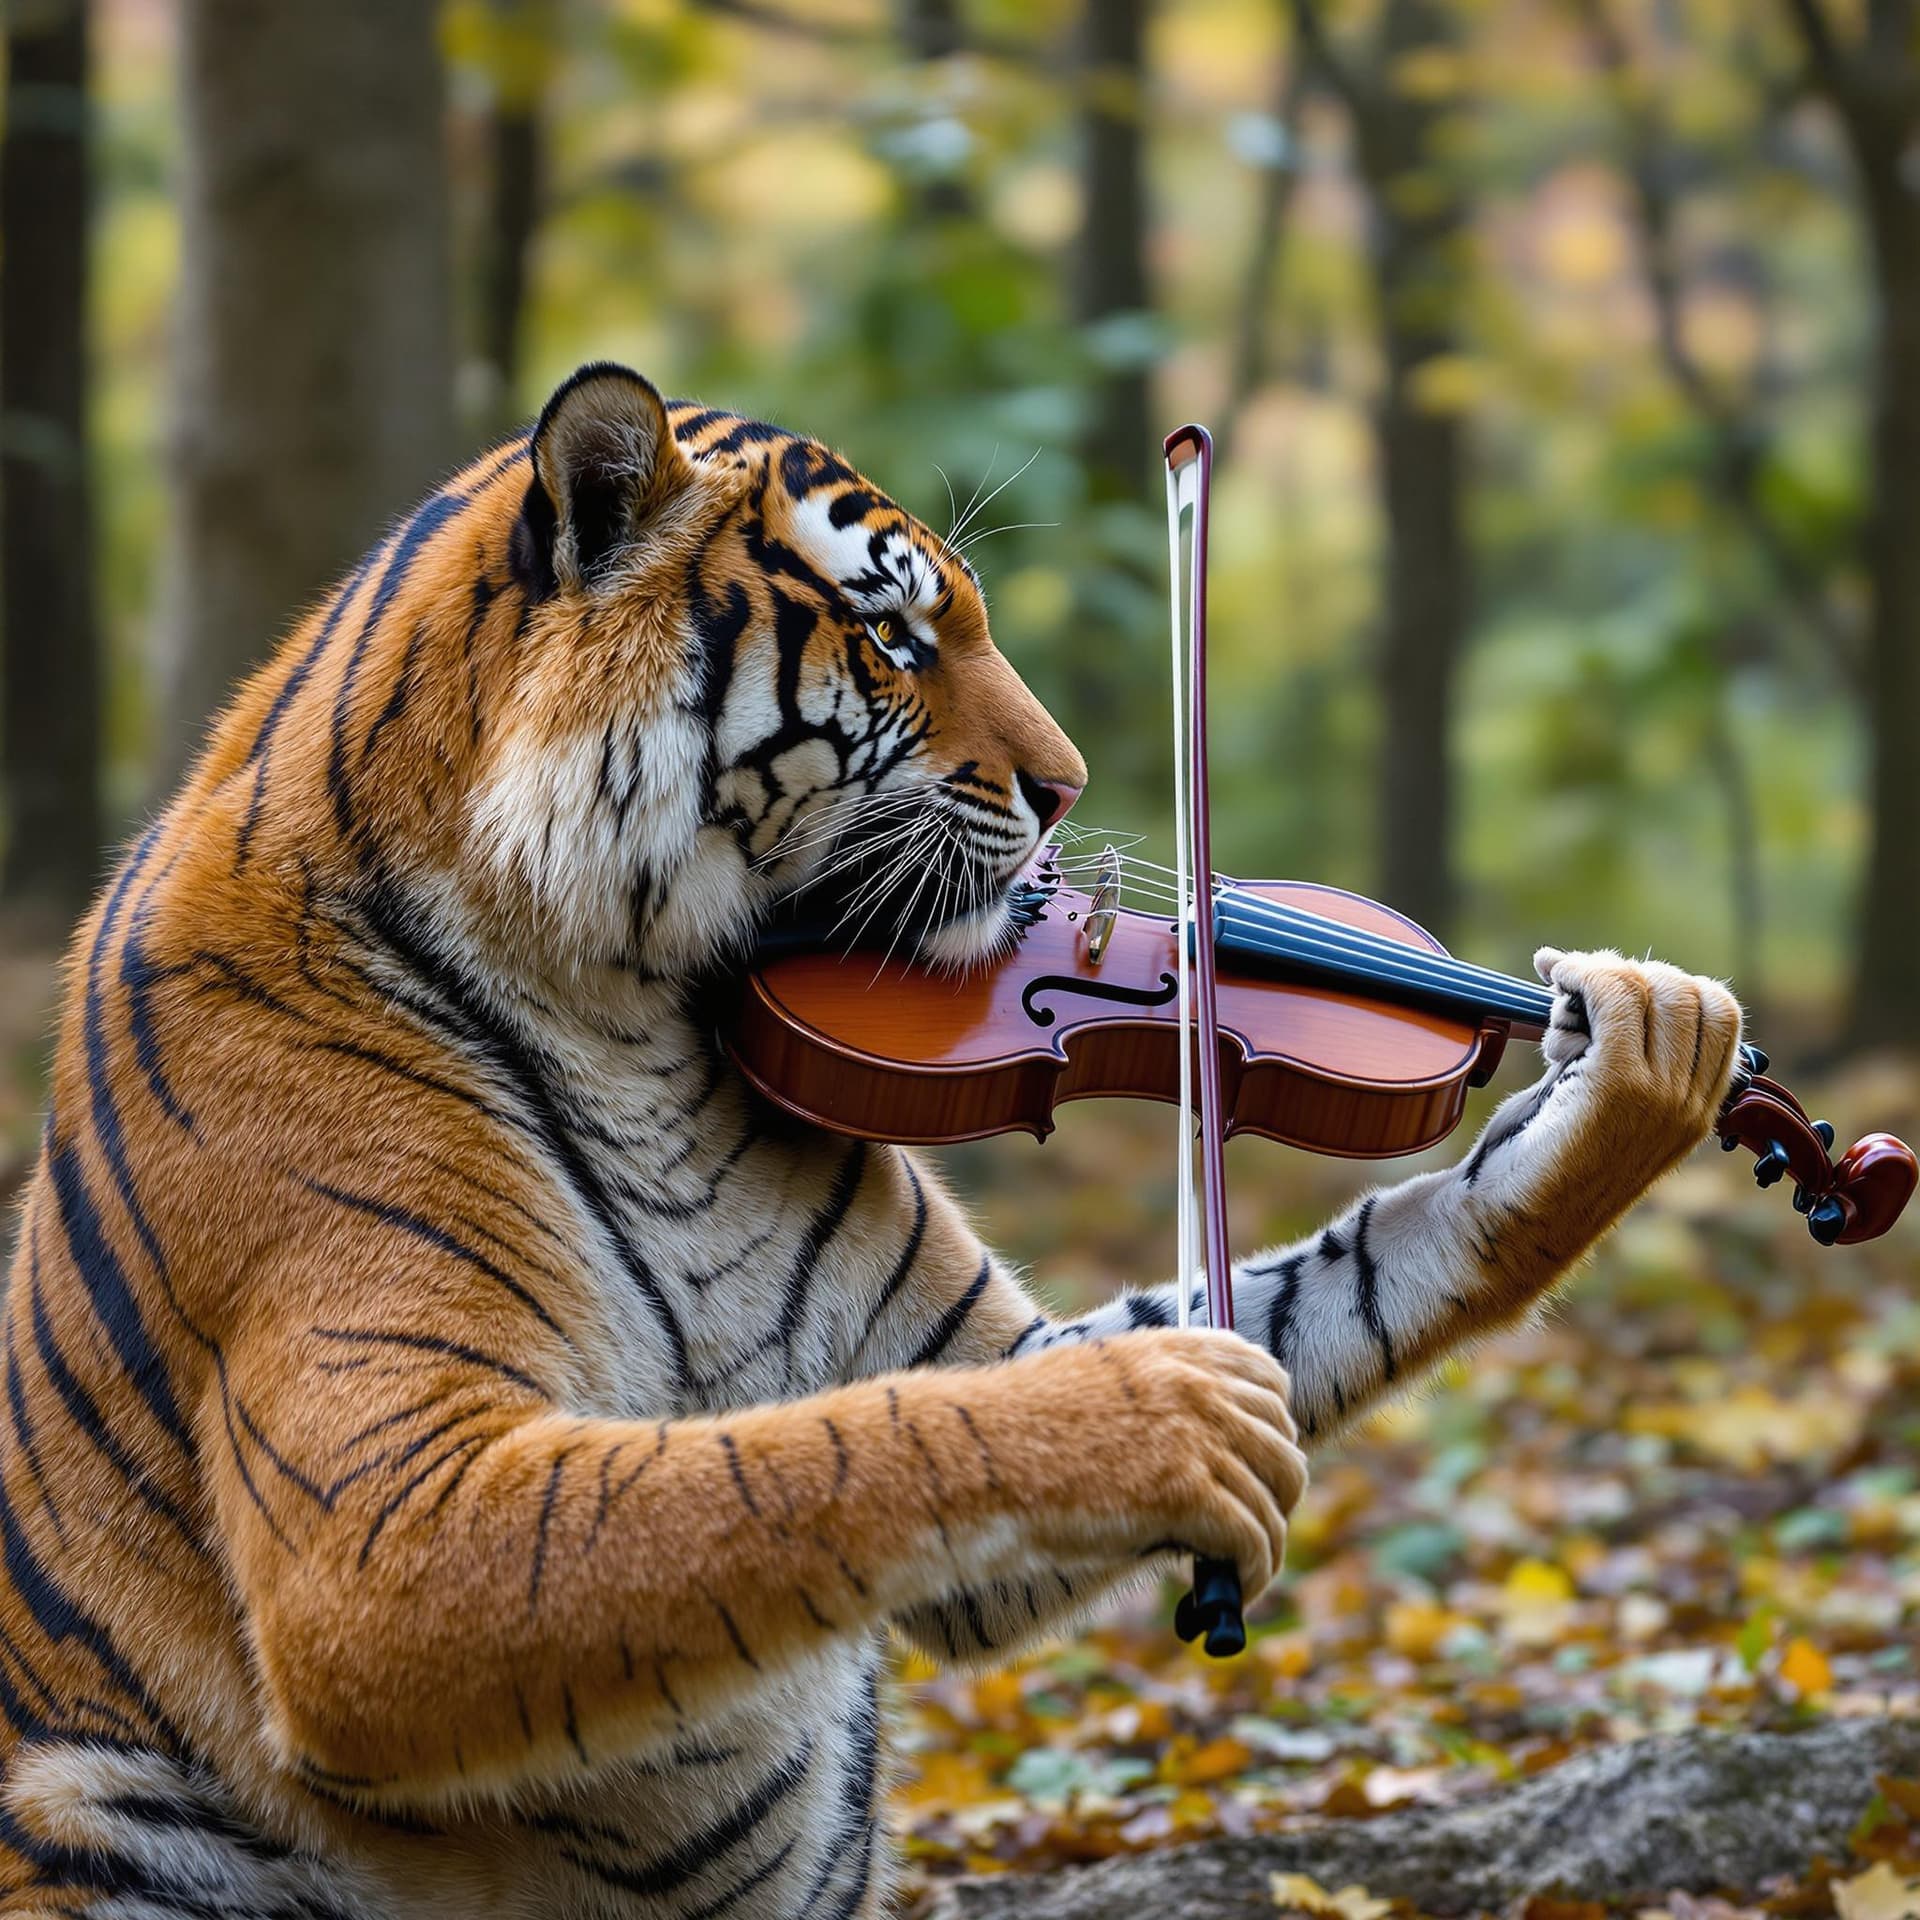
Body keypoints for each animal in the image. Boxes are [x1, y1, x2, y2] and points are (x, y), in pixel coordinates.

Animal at [0, 361, 1743, 1918]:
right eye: (894, 635)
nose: (1072, 805)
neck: (634, 1008)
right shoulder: (375, 1533)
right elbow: (814, 1460)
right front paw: (1165, 1413)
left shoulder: (950, 1339)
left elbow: (1323, 1288)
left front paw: (1636, 1069)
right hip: (104, 1808)